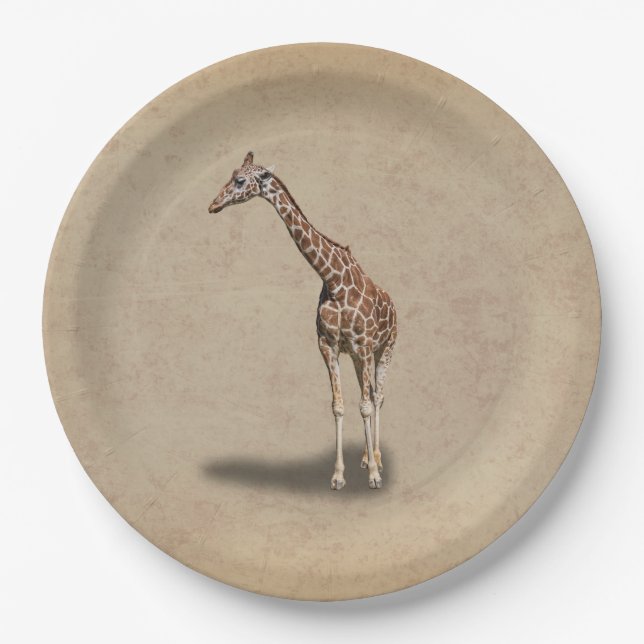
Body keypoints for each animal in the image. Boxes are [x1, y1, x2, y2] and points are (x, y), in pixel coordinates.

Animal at [208, 152, 397, 490]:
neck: (334, 280)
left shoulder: (364, 345)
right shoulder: (329, 345)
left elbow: (365, 405)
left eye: (240, 180)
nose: (213, 204)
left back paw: (376, 460)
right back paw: (365, 458)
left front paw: (375, 476)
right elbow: (338, 406)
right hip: (358, 358)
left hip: (385, 348)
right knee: (371, 395)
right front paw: (338, 476)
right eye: (231, 174)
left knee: (379, 397)